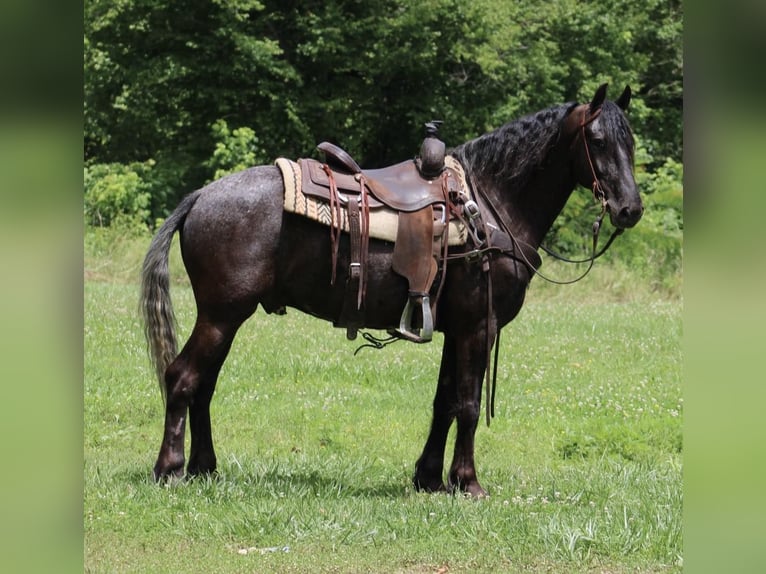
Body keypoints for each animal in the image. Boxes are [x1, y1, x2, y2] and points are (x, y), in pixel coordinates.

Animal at [141, 84, 643, 497]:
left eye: (631, 142)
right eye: (597, 141)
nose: (630, 209)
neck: (490, 204)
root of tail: (200, 197)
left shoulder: (456, 329)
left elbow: (445, 401)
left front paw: (430, 478)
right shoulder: (480, 326)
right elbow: (468, 404)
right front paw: (468, 482)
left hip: (224, 318)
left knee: (203, 384)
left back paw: (205, 468)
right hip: (221, 315)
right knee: (182, 377)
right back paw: (170, 468)